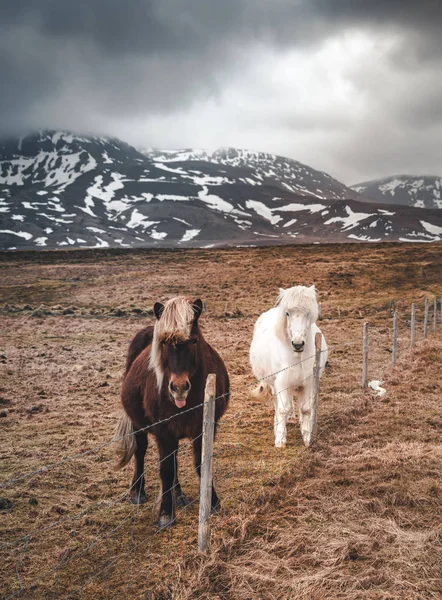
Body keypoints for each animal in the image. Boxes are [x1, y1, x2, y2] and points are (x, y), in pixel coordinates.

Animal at [114, 296, 230, 524]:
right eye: (164, 343)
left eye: (193, 340)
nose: (179, 387)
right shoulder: (164, 433)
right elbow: (166, 470)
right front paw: (166, 513)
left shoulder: (205, 427)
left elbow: (202, 463)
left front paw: (212, 502)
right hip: (139, 426)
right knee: (140, 451)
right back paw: (137, 491)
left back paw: (178, 494)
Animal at [250, 288, 326, 448]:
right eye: (287, 313)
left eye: (308, 313)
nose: (297, 344)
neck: (298, 356)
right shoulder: (282, 383)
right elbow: (283, 409)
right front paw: (280, 439)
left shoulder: (308, 382)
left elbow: (306, 409)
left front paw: (307, 436)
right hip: (275, 384)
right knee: (277, 403)